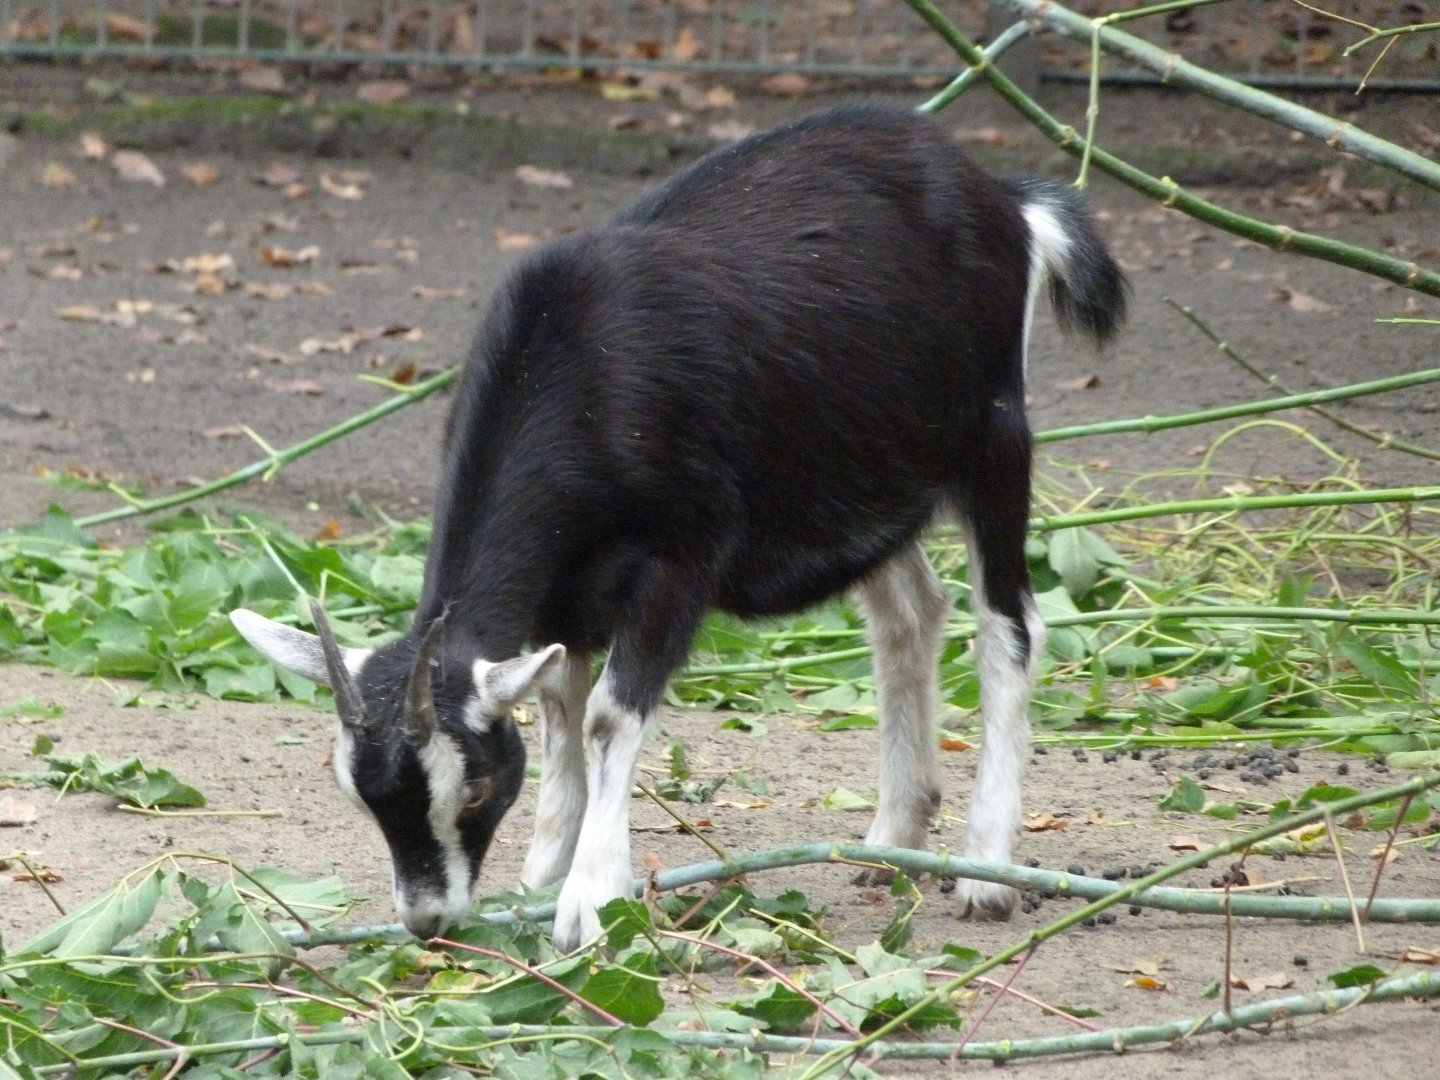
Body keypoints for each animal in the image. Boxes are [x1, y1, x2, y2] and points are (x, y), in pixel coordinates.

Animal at [231, 104, 1127, 950]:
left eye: (474, 785)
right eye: (358, 793)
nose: (428, 920)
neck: (586, 375)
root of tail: (1005, 200)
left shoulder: (676, 564)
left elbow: (605, 717)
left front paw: (589, 902)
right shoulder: (565, 594)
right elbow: (558, 710)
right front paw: (543, 876)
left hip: (994, 437)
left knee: (1009, 629)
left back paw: (984, 871)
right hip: (861, 480)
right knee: (910, 613)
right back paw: (890, 839)